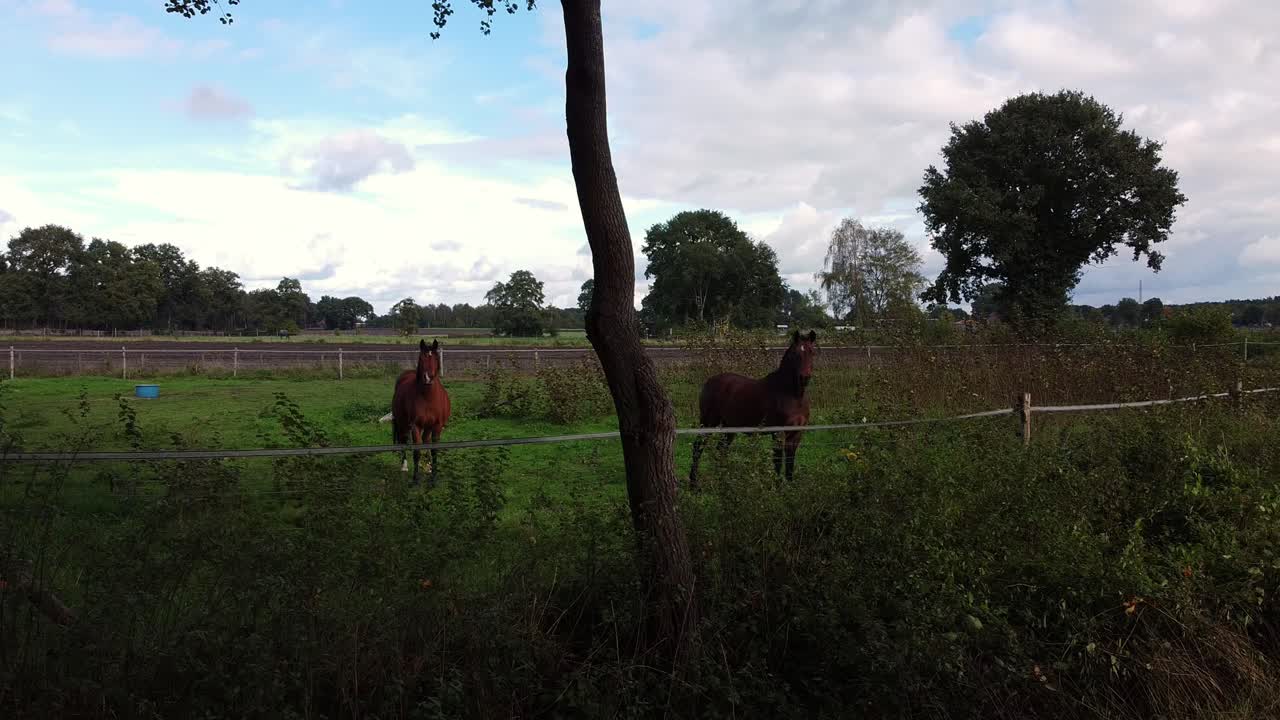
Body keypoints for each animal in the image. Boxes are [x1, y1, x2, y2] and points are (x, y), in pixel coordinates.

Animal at [391, 339, 452, 486]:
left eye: (436, 358)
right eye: (421, 358)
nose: (428, 378)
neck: (428, 397)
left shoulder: (437, 426)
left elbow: (434, 449)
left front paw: (433, 477)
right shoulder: (415, 426)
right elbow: (417, 451)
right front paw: (415, 479)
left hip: (428, 426)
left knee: (426, 440)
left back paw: (428, 467)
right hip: (402, 423)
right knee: (403, 440)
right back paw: (404, 466)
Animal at [688, 330, 817, 488]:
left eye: (812, 352)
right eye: (795, 354)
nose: (804, 378)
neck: (793, 395)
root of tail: (709, 381)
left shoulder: (796, 433)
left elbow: (790, 461)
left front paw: (790, 485)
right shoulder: (778, 432)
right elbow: (778, 460)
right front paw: (777, 487)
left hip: (729, 426)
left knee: (721, 450)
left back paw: (722, 481)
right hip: (708, 422)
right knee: (698, 447)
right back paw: (694, 483)